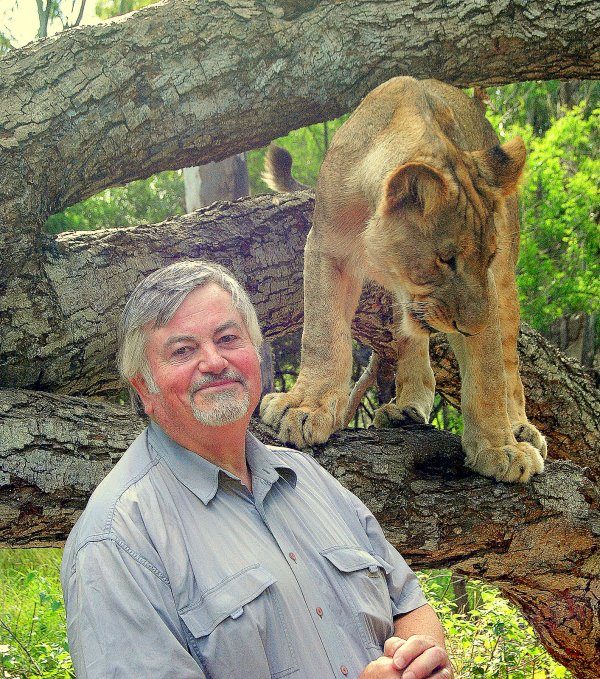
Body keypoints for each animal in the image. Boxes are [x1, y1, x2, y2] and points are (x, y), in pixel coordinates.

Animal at [260, 76, 547, 483]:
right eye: (445, 259)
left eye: (486, 257)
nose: (473, 327)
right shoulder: (326, 248)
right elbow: (322, 337)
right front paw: (304, 407)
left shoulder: (489, 282)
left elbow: (490, 372)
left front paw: (501, 448)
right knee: (407, 335)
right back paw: (407, 407)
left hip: (506, 281)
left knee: (508, 356)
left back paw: (521, 426)